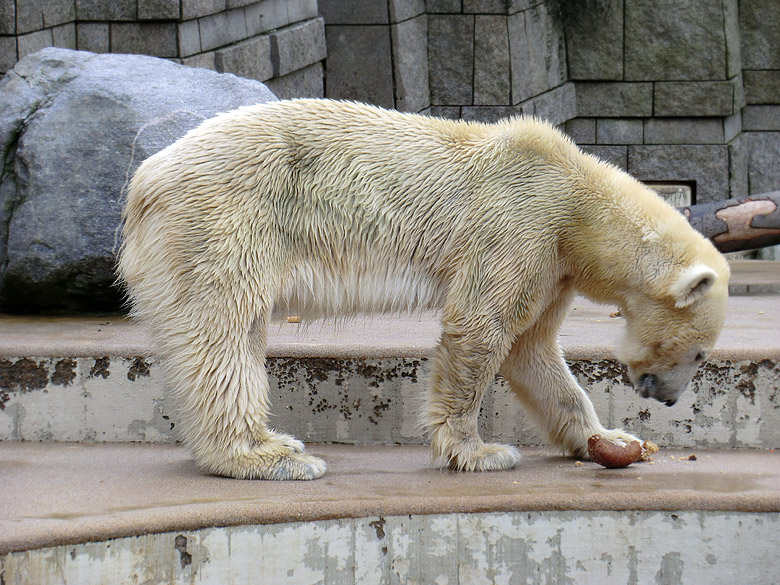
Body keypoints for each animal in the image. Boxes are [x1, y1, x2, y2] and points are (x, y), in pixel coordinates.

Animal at [119, 97, 728, 480]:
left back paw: (275, 444)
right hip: (224, 224)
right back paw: (269, 458)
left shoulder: (553, 266)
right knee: (221, 333)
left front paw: (615, 440)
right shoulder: (520, 223)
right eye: (699, 352)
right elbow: (481, 329)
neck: (577, 199)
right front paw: (480, 451)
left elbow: (533, 349)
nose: (665, 397)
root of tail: (145, 182)